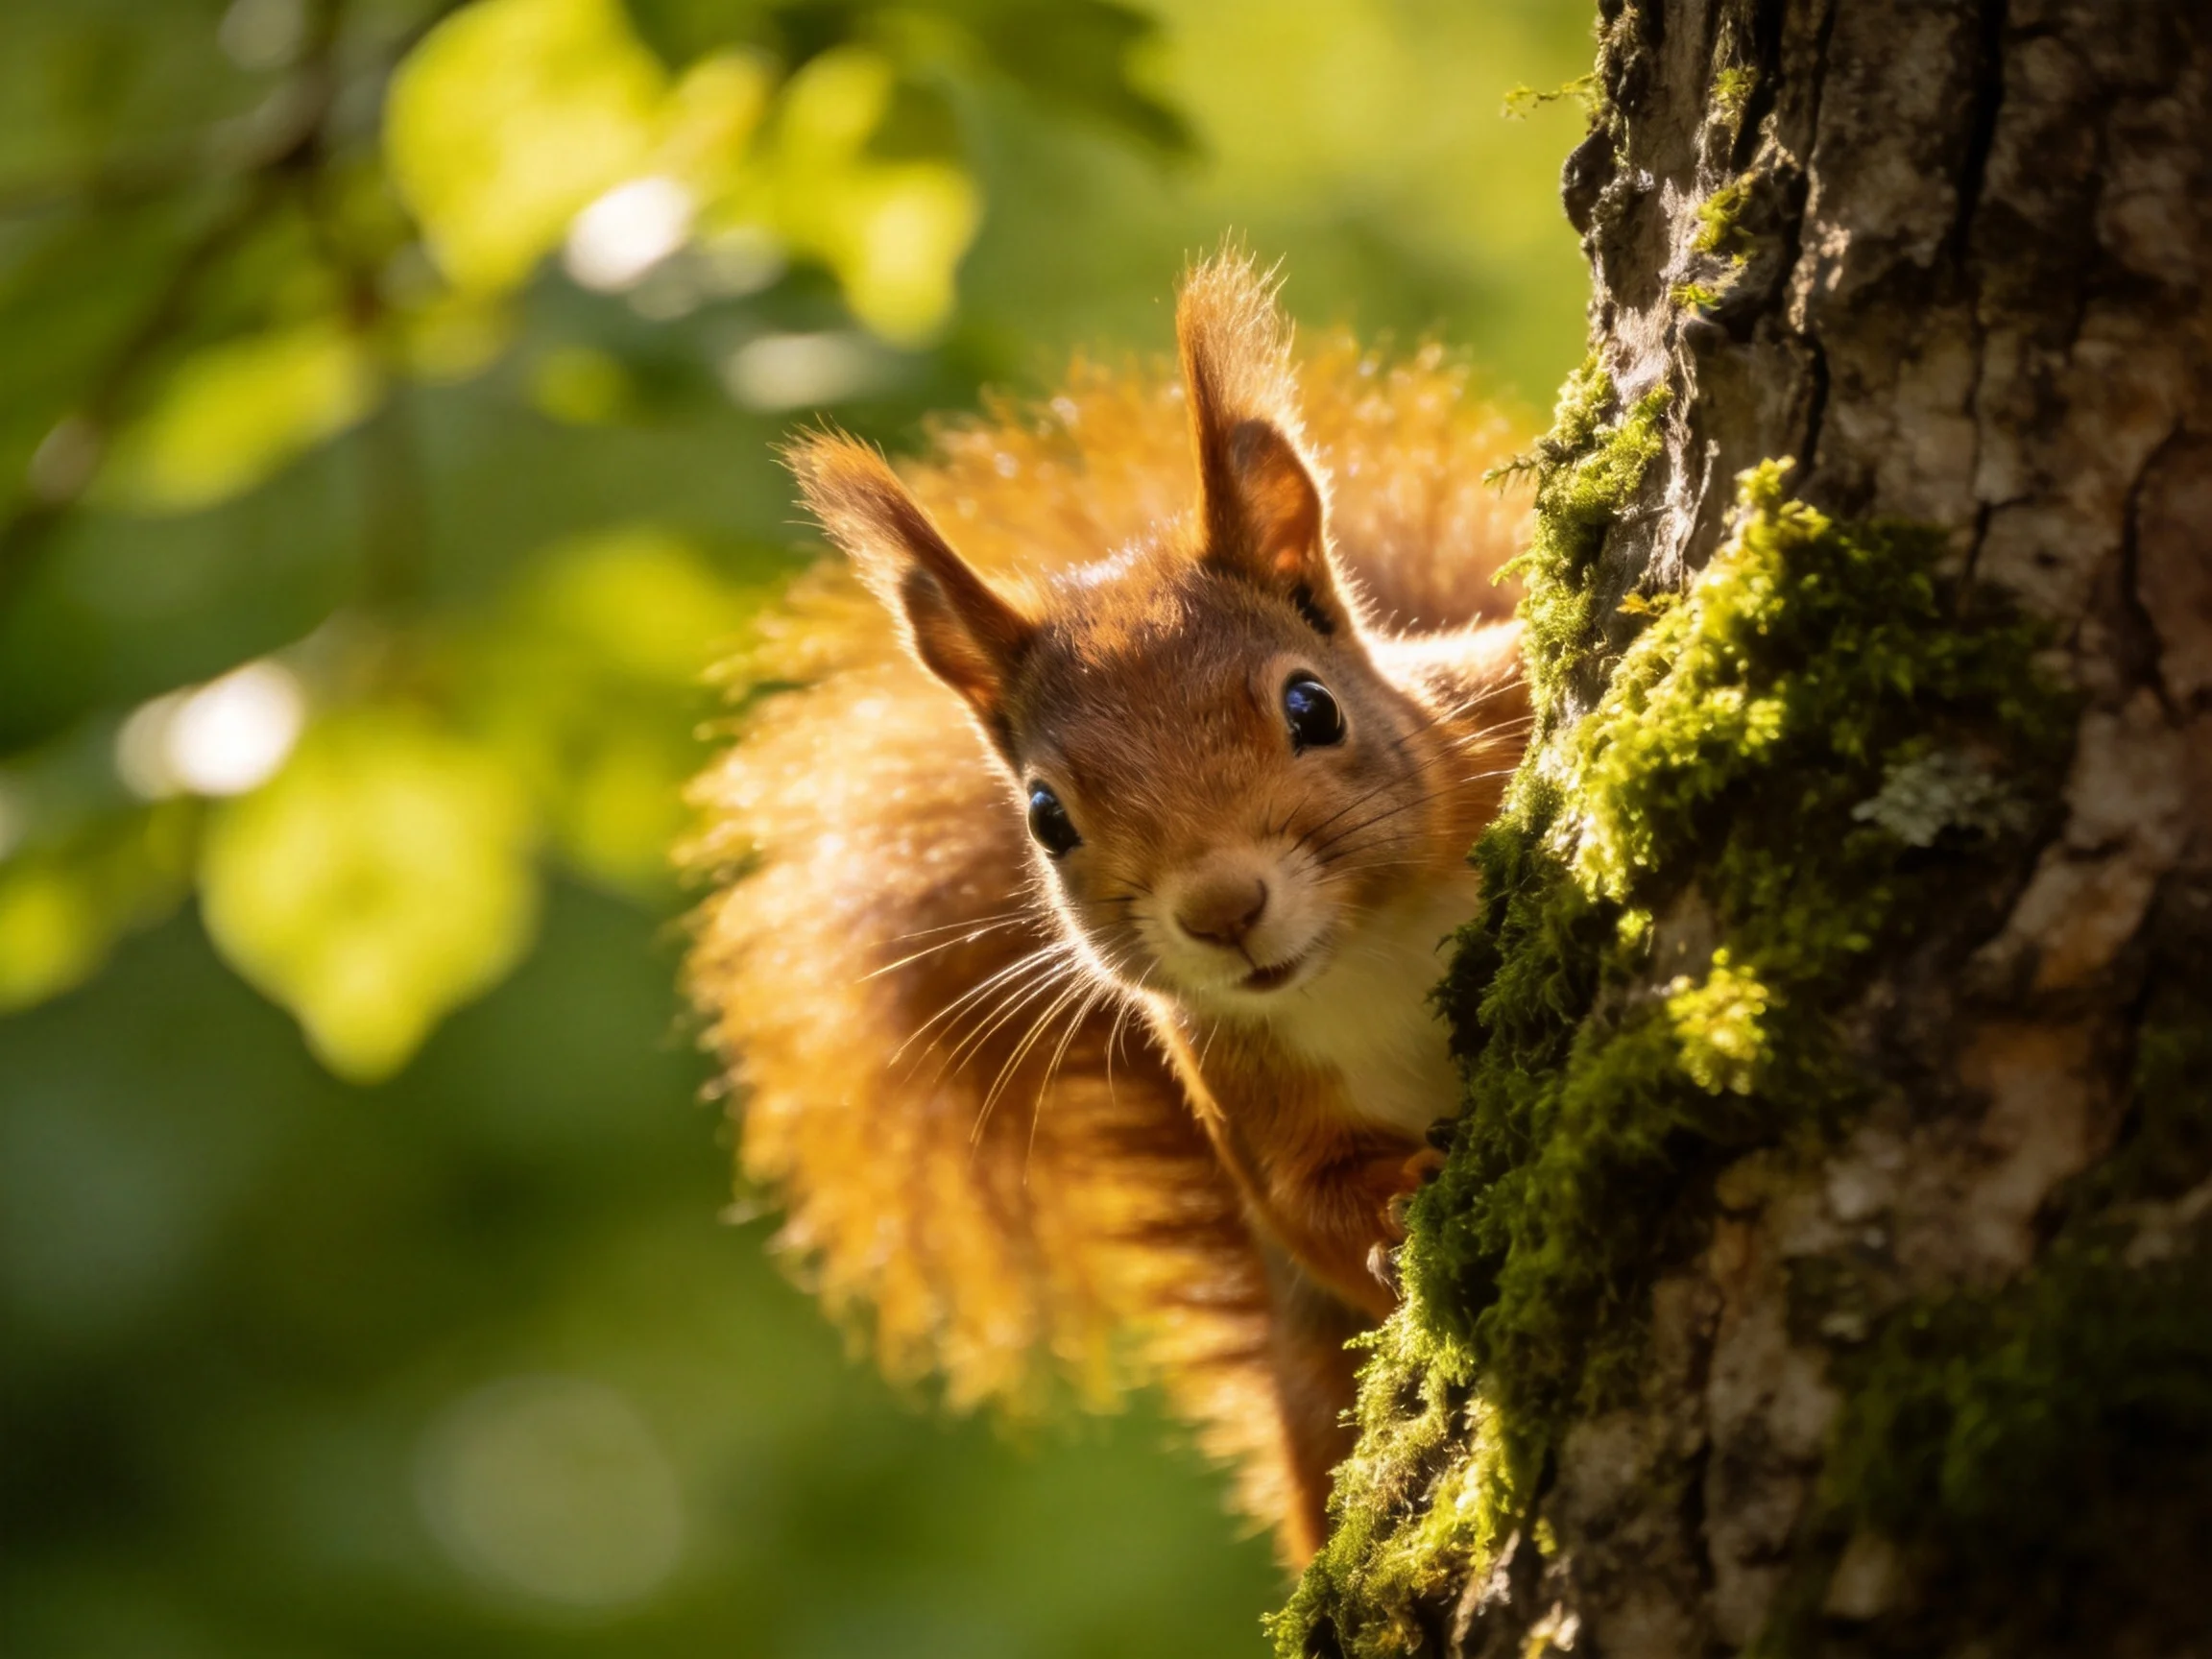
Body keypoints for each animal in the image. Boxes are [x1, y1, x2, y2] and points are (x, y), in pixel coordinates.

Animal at [685, 254, 1531, 1564]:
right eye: (1045, 816)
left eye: (1312, 707)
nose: (1223, 906)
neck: (1369, 951)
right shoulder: (1238, 1085)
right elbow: (1306, 1207)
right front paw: (1393, 1211)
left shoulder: (1489, 702)